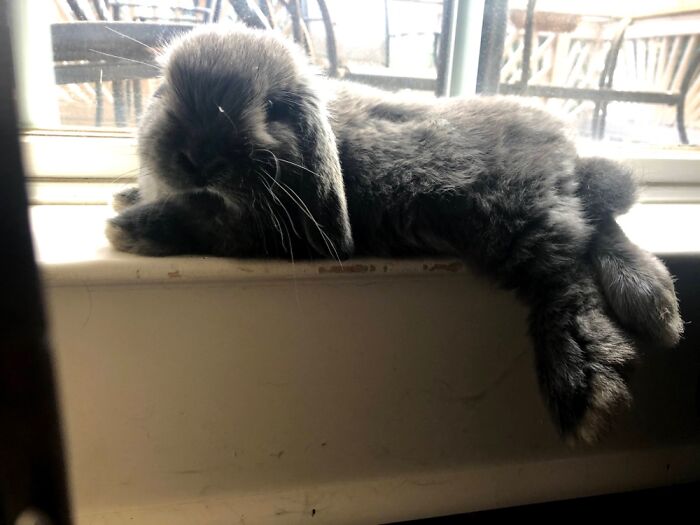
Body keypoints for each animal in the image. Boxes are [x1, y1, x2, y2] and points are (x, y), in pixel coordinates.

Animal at [107, 25, 683, 443]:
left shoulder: (279, 233)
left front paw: (130, 228)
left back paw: (586, 378)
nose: (199, 157)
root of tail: (564, 145)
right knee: (598, 223)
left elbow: (208, 223)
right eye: (164, 91)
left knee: (570, 278)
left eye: (273, 108)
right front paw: (129, 199)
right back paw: (652, 298)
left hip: (512, 221)